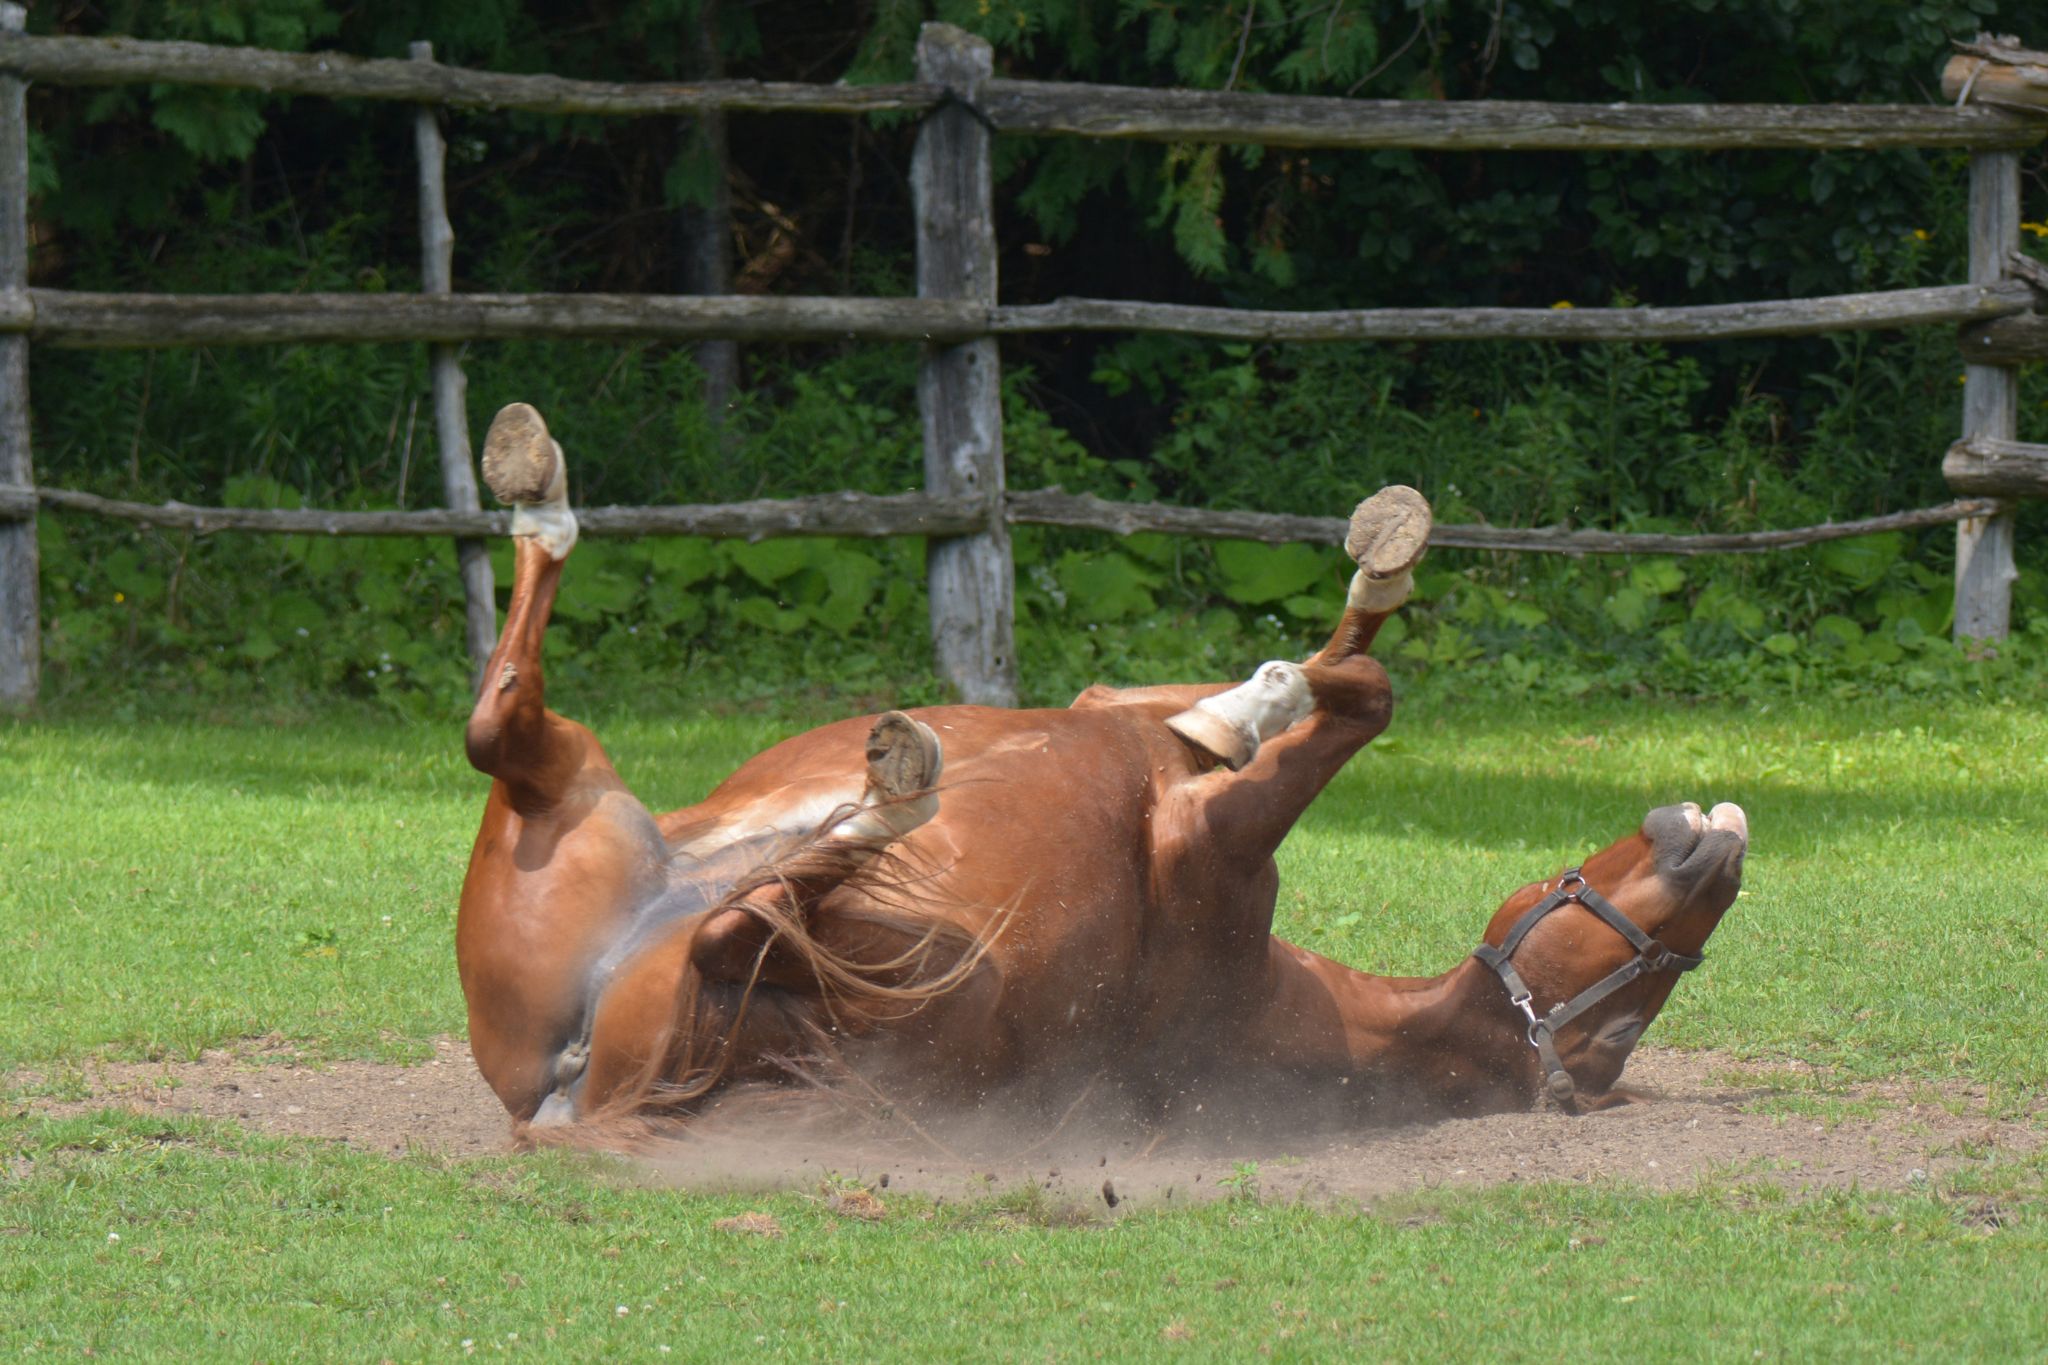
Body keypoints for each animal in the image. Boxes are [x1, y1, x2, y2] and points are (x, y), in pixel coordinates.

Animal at [456, 402, 1746, 1145]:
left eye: (1618, 1031)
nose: (1721, 842)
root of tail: (561, 1090)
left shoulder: (1208, 851)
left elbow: (1348, 701)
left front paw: (1278, 681)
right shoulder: (1139, 750)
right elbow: (1318, 683)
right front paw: (1336, 609)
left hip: (911, 971)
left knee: (724, 909)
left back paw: (895, 790)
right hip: (589, 803)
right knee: (504, 725)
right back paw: (535, 483)